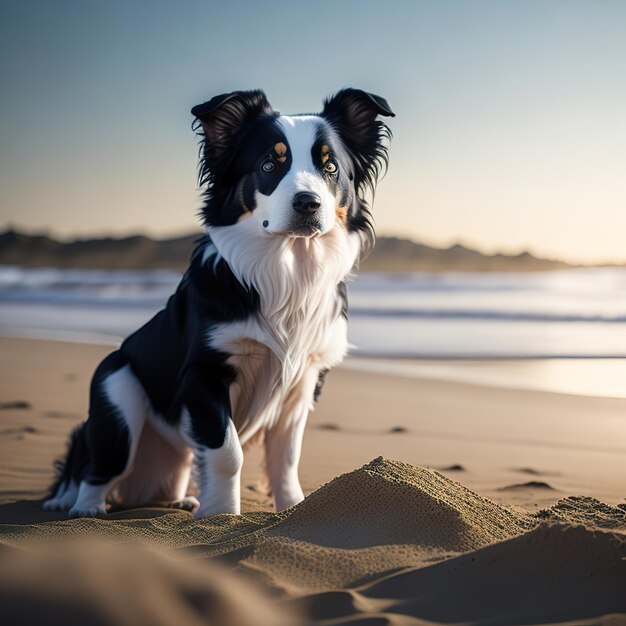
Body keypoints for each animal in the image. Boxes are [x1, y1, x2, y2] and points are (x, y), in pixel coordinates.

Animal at [44, 88, 392, 516]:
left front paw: (292, 508)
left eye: (330, 167)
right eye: (268, 164)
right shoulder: (204, 372)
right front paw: (222, 515)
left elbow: (287, 457)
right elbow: (227, 451)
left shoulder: (305, 379)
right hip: (116, 386)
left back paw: (178, 500)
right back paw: (84, 506)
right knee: (97, 465)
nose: (308, 204)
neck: (287, 270)